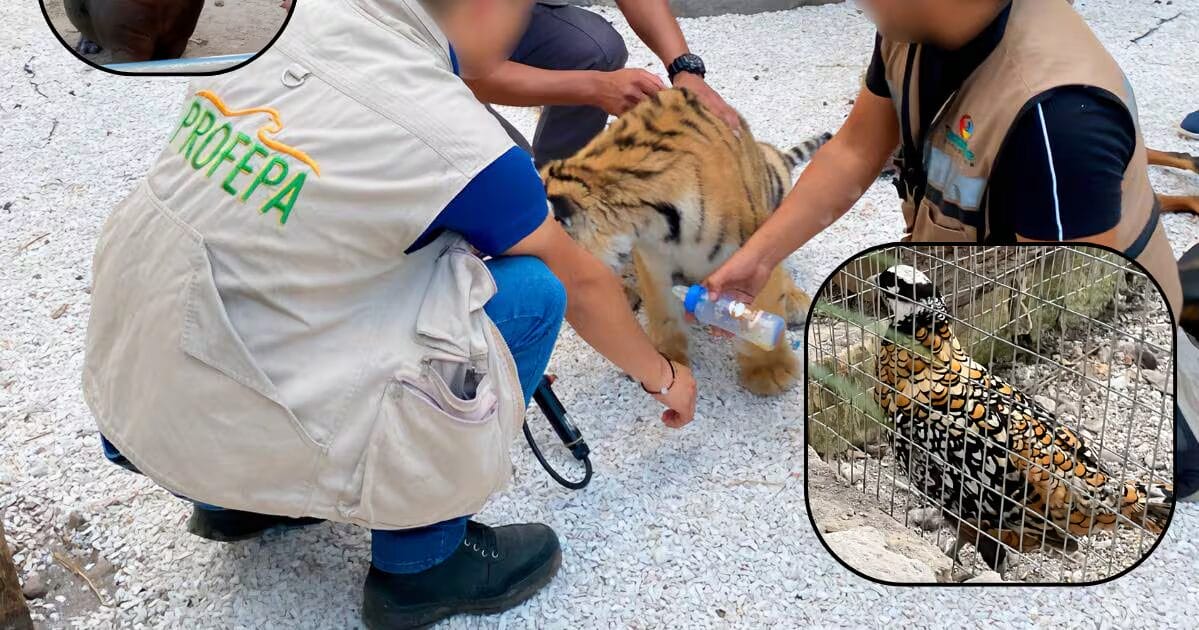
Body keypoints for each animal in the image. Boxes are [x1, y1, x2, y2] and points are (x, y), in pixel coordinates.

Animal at [540, 87, 830, 395]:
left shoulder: (755, 247)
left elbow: (767, 298)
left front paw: (769, 371)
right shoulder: (651, 258)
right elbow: (661, 309)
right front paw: (667, 362)